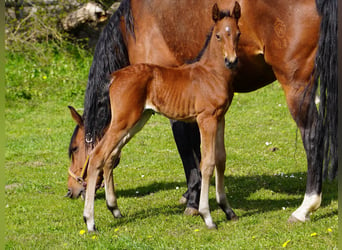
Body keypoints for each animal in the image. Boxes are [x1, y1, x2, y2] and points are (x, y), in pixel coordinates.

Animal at [83, 2, 240, 232]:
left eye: (237, 34)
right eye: (218, 35)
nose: (231, 61)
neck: (210, 73)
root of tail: (115, 76)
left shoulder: (220, 118)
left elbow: (221, 159)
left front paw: (228, 210)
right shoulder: (206, 119)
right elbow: (207, 162)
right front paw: (207, 216)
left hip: (136, 121)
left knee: (110, 156)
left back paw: (114, 209)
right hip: (123, 121)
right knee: (97, 156)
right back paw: (90, 221)